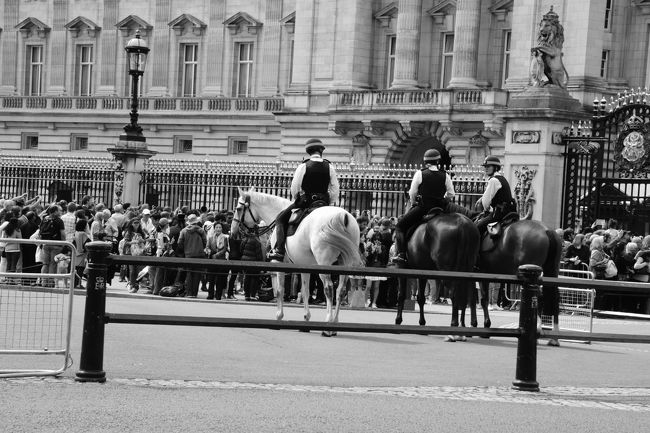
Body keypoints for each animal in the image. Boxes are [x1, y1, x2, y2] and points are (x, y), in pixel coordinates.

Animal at [232, 186, 364, 334]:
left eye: (238, 208)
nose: (234, 232)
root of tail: (343, 216)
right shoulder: (304, 266)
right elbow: (305, 291)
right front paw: (306, 319)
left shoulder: (279, 264)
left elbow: (280, 290)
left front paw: (279, 317)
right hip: (345, 264)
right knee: (340, 290)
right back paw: (335, 323)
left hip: (324, 263)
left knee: (329, 288)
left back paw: (328, 326)